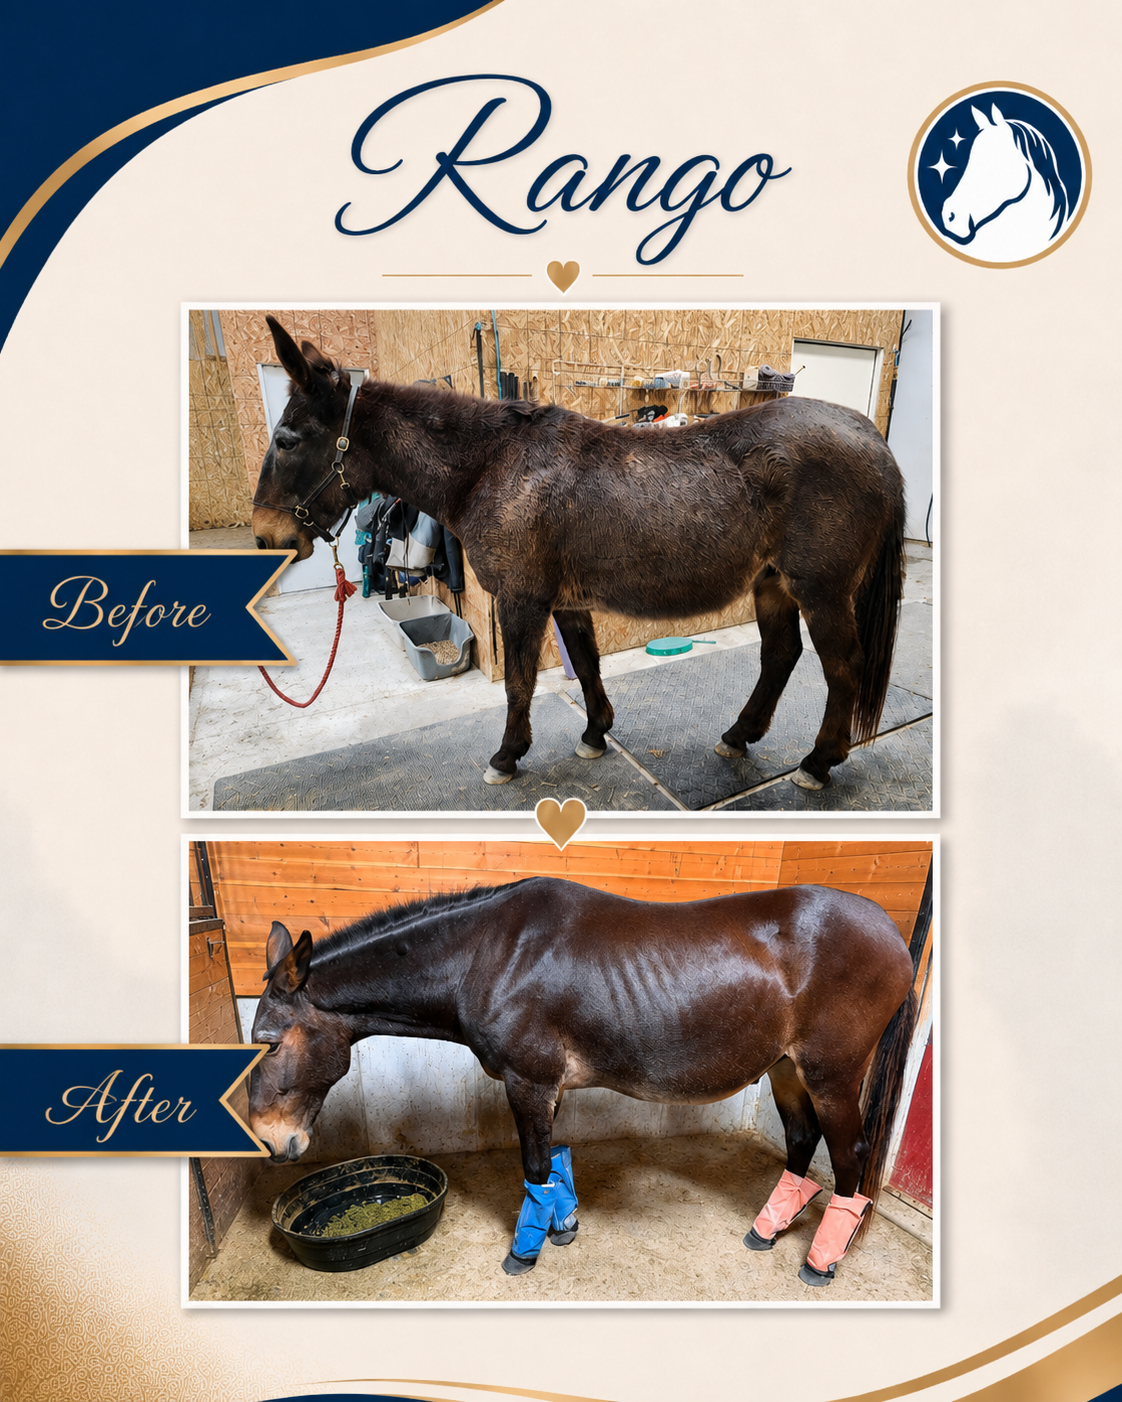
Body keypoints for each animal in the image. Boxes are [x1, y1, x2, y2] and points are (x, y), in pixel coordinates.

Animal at [248, 878, 918, 1285]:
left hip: (832, 1073)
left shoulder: (528, 1080)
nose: (270, 1142)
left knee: (850, 1158)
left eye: (269, 1043)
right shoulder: (550, 1087)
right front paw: (563, 1226)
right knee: (802, 1143)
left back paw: (821, 1261)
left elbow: (534, 1167)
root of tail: (892, 933)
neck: (490, 956)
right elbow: (557, 1161)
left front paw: (524, 1251)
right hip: (785, 1068)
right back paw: (767, 1230)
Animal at [253, 317, 906, 791]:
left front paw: (507, 756)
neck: (491, 466)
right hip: (773, 583)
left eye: (286, 439)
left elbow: (518, 681)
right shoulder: (565, 600)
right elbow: (587, 665)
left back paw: (818, 764)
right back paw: (739, 736)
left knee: (842, 667)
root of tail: (873, 440)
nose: (264, 536)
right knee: (780, 656)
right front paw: (595, 735)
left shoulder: (521, 599)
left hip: (822, 591)